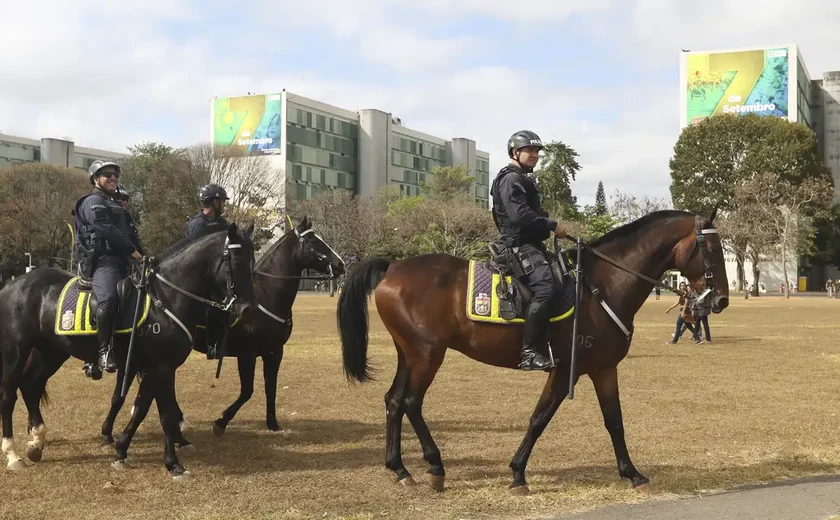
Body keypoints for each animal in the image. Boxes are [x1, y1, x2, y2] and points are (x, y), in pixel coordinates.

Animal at [0, 224, 256, 480]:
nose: (247, 309)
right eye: (235, 261)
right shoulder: (159, 367)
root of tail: (12, 284)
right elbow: (164, 414)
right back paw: (13, 455)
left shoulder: (159, 367)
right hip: (17, 352)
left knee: (31, 384)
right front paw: (173, 464)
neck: (165, 299)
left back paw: (36, 443)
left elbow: (145, 408)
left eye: (252, 262)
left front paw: (123, 450)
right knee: (9, 395)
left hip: (52, 351)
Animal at [100, 215, 346, 442]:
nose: (341, 264)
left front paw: (273, 424)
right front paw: (221, 422)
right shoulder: (247, 354)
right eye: (313, 241)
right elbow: (248, 391)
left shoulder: (274, 351)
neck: (266, 296)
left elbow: (271, 387)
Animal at [334, 209, 728, 494]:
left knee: (394, 401)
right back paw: (434, 466)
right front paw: (518, 474)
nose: (721, 300)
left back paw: (400, 469)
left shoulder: (603, 368)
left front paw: (632, 473)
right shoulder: (564, 368)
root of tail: (393, 266)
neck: (601, 285)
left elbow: (614, 420)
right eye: (712, 249)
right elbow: (539, 418)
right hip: (428, 355)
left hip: (410, 354)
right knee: (411, 402)